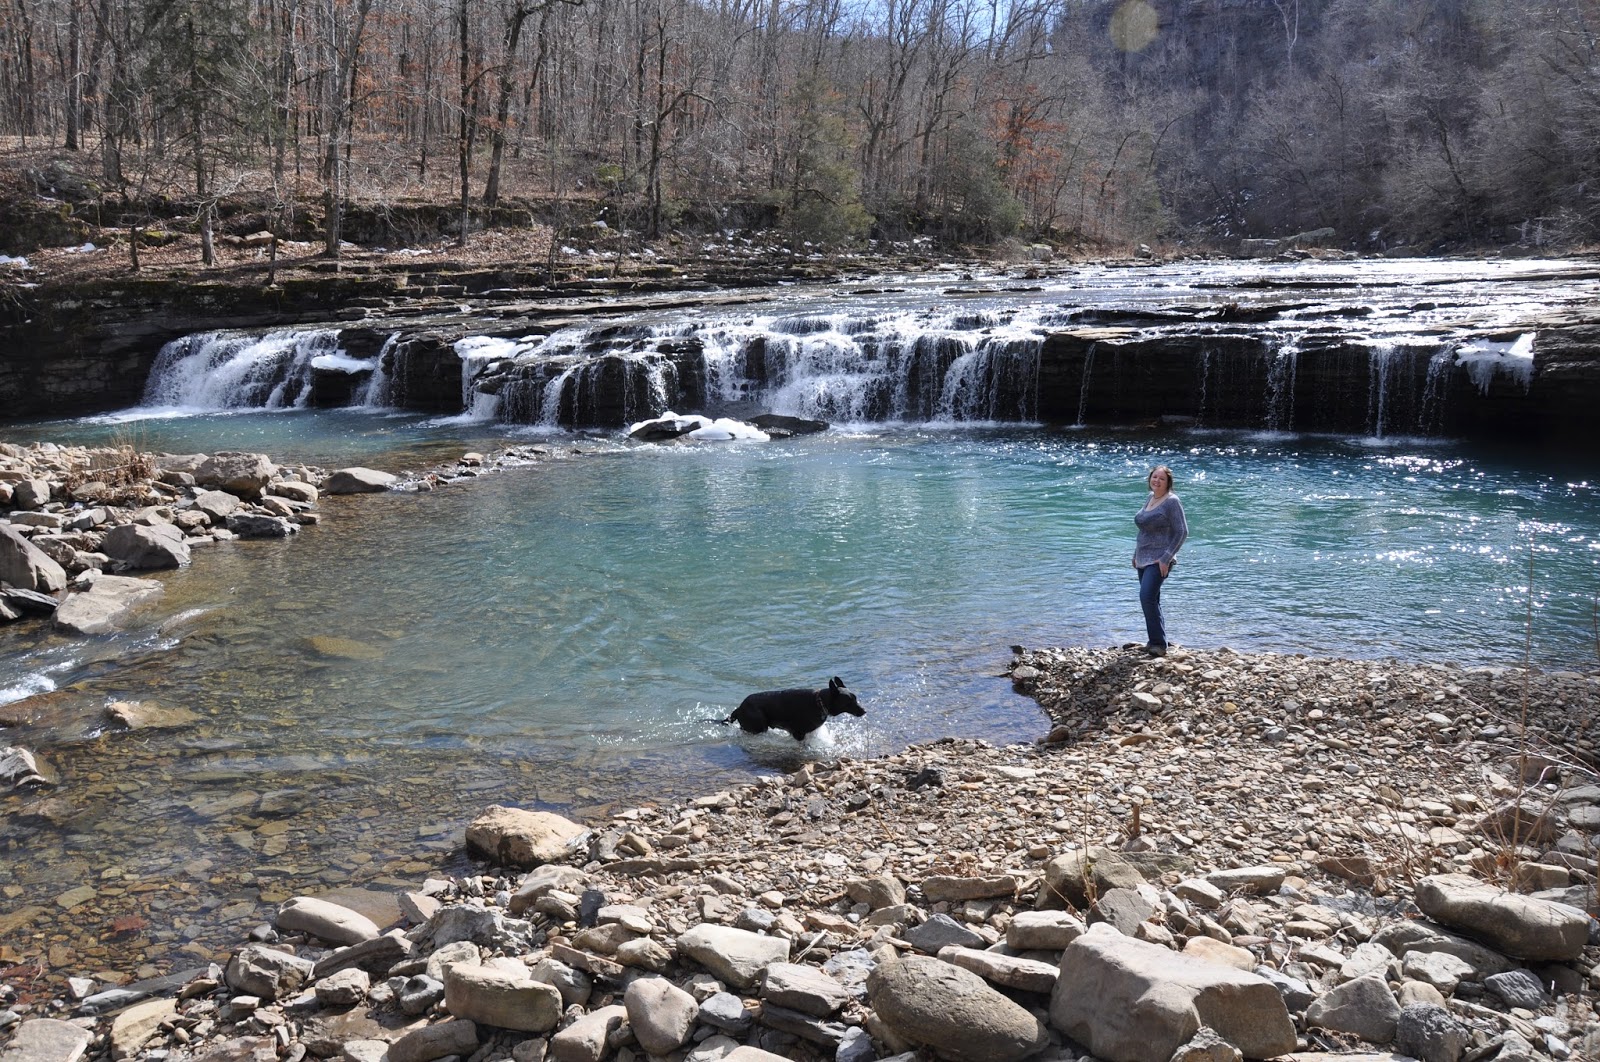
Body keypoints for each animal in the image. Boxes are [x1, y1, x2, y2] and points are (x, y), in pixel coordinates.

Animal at [719, 676, 864, 741]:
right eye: (849, 702)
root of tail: (739, 709)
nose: (864, 711)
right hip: (758, 727)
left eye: (855, 698)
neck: (821, 702)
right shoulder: (799, 734)